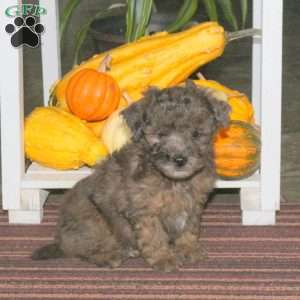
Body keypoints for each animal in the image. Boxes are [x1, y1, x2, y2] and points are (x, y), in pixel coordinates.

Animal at [32, 80, 230, 272]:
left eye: (196, 133)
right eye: (161, 134)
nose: (180, 159)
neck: (174, 181)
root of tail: (61, 240)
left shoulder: (194, 204)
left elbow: (189, 228)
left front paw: (188, 249)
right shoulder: (146, 210)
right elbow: (154, 236)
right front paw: (164, 259)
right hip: (93, 219)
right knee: (87, 249)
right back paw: (110, 256)